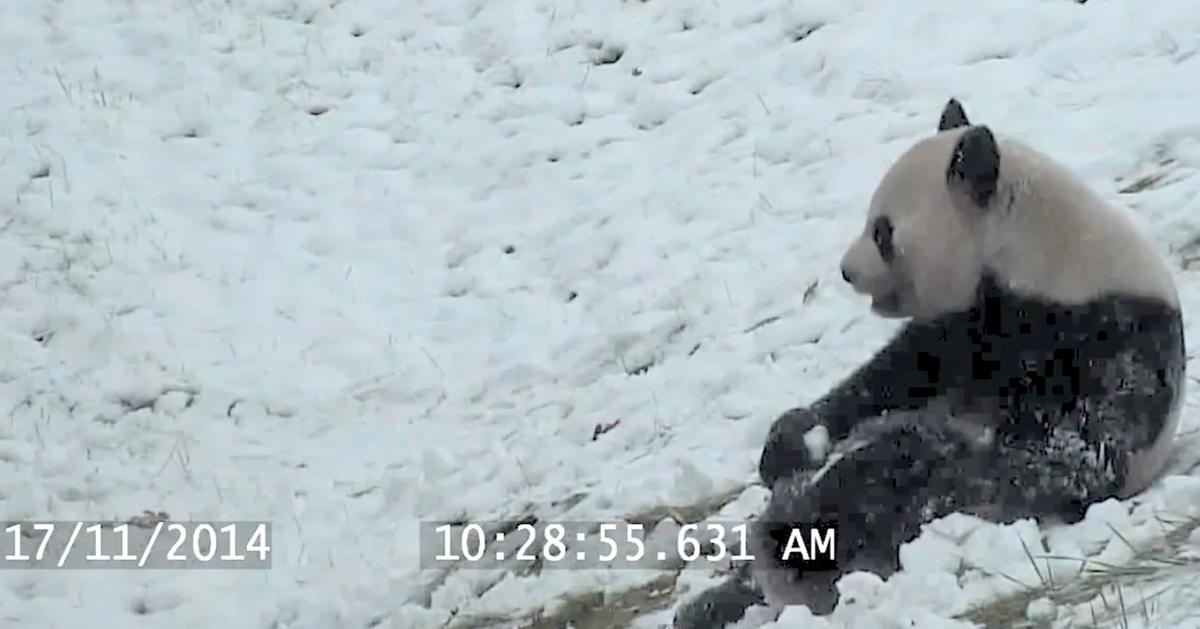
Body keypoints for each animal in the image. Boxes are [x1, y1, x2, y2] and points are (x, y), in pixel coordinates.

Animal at [674, 98, 1186, 628]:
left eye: (882, 231)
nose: (846, 271)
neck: (1036, 257)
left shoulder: (1110, 336)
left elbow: (1071, 450)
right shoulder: (959, 329)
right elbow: (885, 381)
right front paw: (791, 441)